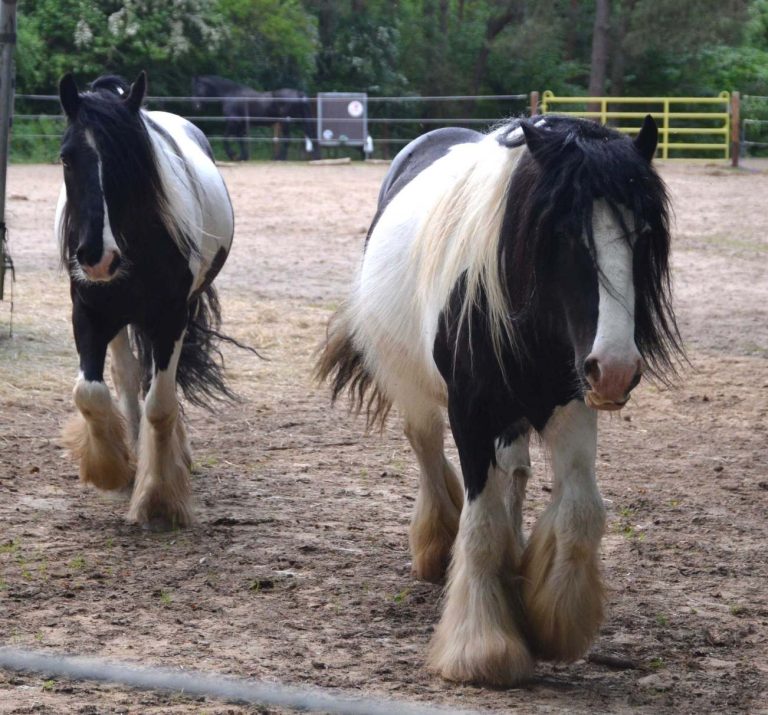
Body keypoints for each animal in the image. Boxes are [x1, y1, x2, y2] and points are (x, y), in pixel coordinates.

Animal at [56, 74, 234, 532]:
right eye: (66, 159)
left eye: (129, 160)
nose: (95, 257)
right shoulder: (89, 313)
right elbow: (91, 391)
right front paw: (112, 469)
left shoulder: (170, 318)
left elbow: (161, 403)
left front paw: (158, 499)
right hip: (119, 320)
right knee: (127, 376)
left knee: (155, 383)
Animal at [318, 114, 684, 684]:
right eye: (562, 231)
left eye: (642, 233)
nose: (617, 369)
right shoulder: (471, 413)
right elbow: (482, 524)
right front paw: (481, 647)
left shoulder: (571, 403)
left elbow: (581, 512)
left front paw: (555, 620)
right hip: (415, 389)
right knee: (426, 448)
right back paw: (436, 546)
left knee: (513, 470)